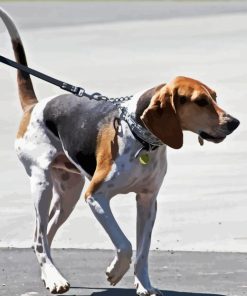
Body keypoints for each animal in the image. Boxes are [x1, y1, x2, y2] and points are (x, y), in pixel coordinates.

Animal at [0, 8, 239, 294]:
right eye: (200, 101)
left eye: (215, 96)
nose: (235, 123)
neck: (141, 137)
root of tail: (34, 106)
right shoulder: (96, 196)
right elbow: (124, 244)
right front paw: (115, 272)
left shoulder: (147, 200)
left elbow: (142, 252)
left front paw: (144, 285)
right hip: (42, 184)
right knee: (39, 237)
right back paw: (54, 278)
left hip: (68, 193)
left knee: (45, 234)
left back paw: (52, 275)